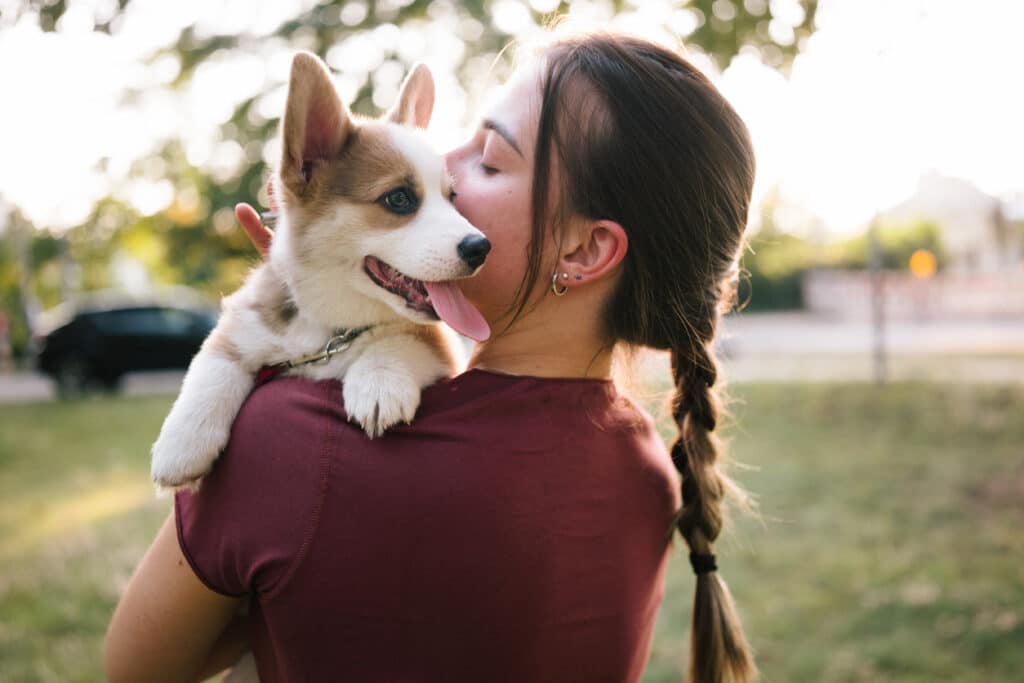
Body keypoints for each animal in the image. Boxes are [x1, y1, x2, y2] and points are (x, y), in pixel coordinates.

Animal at [148, 53, 491, 491]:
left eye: (453, 197)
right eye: (398, 199)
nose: (480, 248)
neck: (331, 328)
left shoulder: (441, 344)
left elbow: (400, 340)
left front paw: (377, 383)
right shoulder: (245, 320)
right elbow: (213, 364)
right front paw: (182, 444)